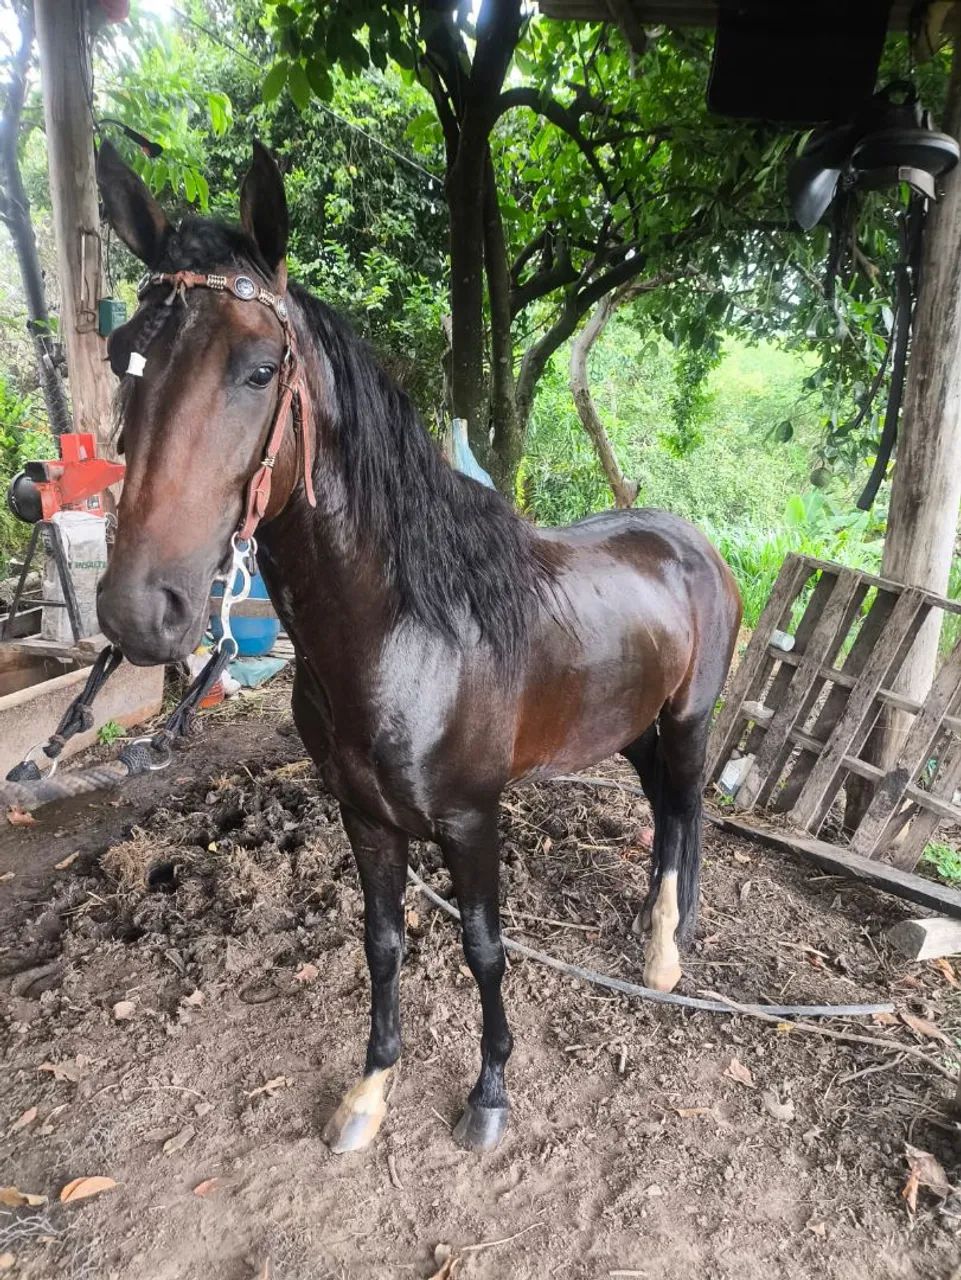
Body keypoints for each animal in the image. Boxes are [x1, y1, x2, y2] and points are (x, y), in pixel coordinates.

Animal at [95, 140, 741, 1155]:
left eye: (260, 368)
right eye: (125, 354)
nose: (136, 609)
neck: (407, 637)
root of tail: (694, 544)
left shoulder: (473, 820)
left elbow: (483, 950)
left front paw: (489, 1095)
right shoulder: (363, 817)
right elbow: (384, 942)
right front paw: (369, 1091)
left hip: (686, 720)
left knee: (684, 809)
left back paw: (666, 954)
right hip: (632, 727)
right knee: (670, 818)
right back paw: (659, 928)